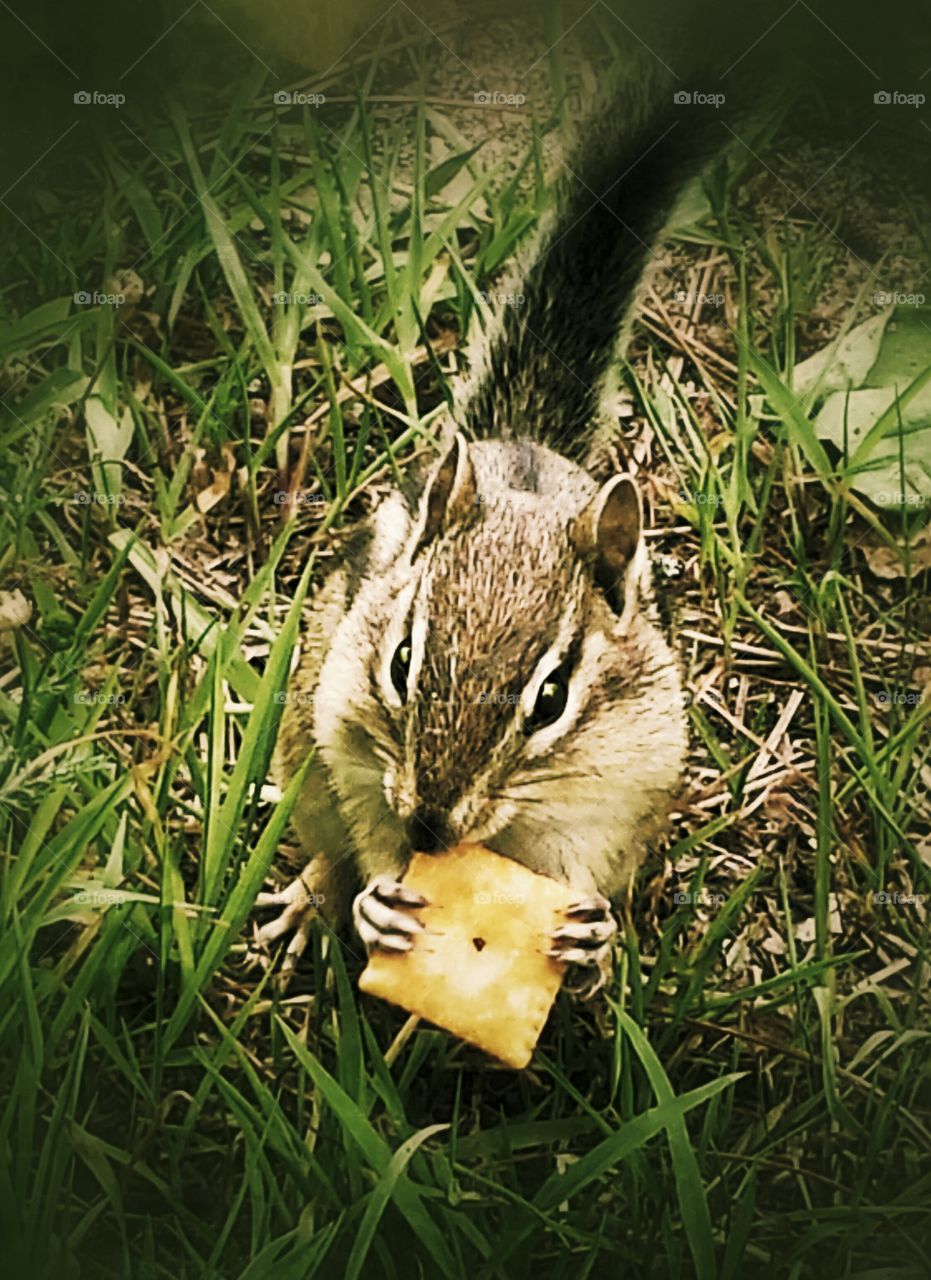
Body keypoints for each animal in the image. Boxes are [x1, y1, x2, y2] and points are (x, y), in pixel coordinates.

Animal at [253, 51, 770, 991]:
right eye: (401, 660)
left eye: (554, 698)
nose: (428, 828)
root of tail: (524, 438)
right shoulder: (348, 744)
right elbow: (366, 832)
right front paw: (378, 899)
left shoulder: (615, 796)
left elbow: (585, 870)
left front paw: (591, 937)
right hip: (302, 755)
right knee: (324, 842)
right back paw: (311, 899)